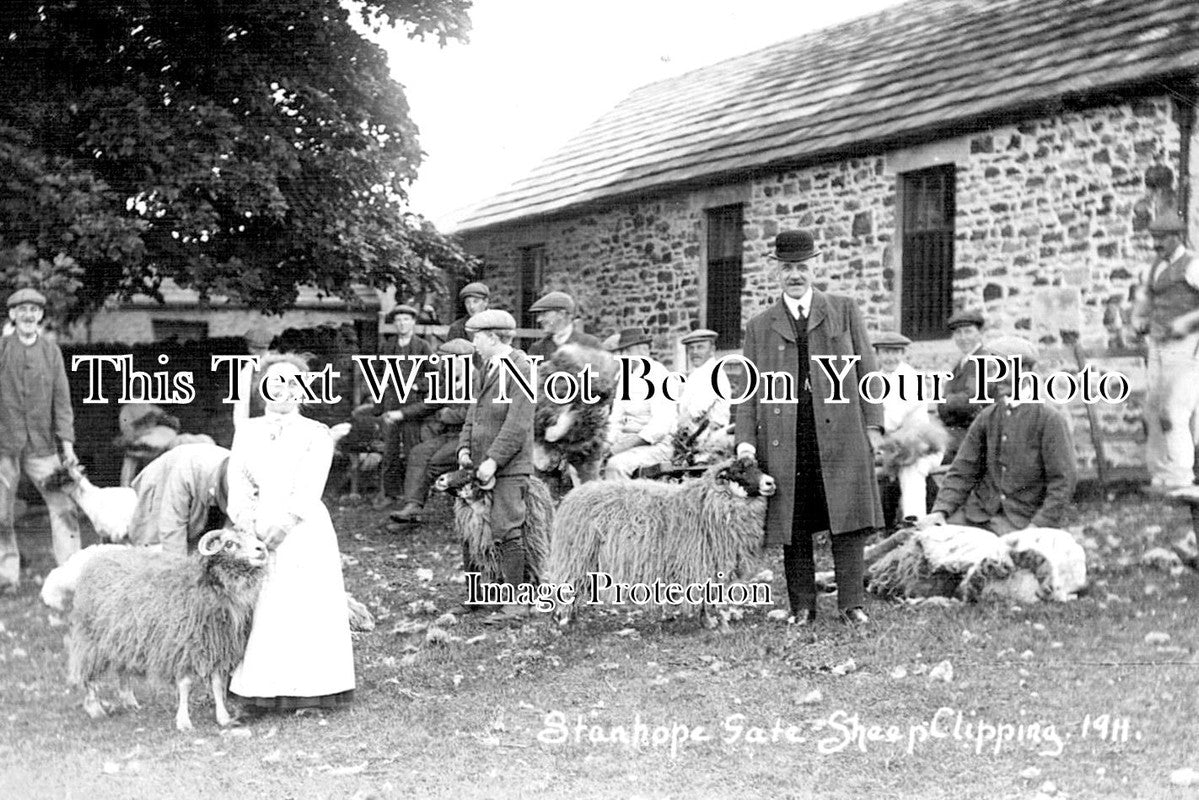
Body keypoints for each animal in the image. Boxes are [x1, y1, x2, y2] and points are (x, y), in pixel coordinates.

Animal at [68, 527, 270, 729]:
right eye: (229, 544)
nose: (261, 548)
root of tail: (97, 555)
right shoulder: (183, 646)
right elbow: (185, 684)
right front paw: (184, 721)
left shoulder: (216, 646)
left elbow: (216, 684)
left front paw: (223, 717)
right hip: (90, 637)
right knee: (88, 673)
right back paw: (95, 709)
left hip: (123, 637)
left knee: (122, 669)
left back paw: (129, 701)